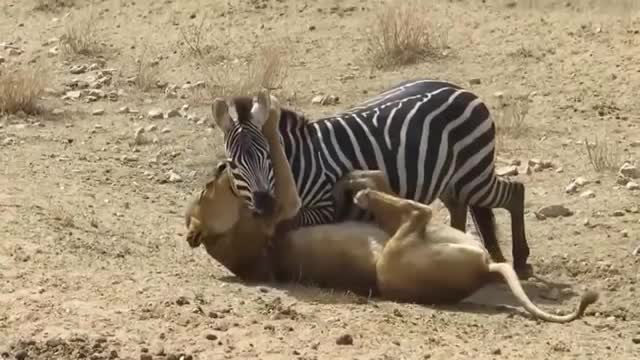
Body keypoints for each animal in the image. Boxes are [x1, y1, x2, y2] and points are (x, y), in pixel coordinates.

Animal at [212, 79, 532, 278]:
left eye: (266, 156)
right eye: (232, 164)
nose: (265, 205)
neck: (298, 162)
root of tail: (462, 90)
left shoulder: (326, 206)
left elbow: (290, 222)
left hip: (473, 174)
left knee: (515, 192)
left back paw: (521, 260)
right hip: (451, 180)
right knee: (462, 207)